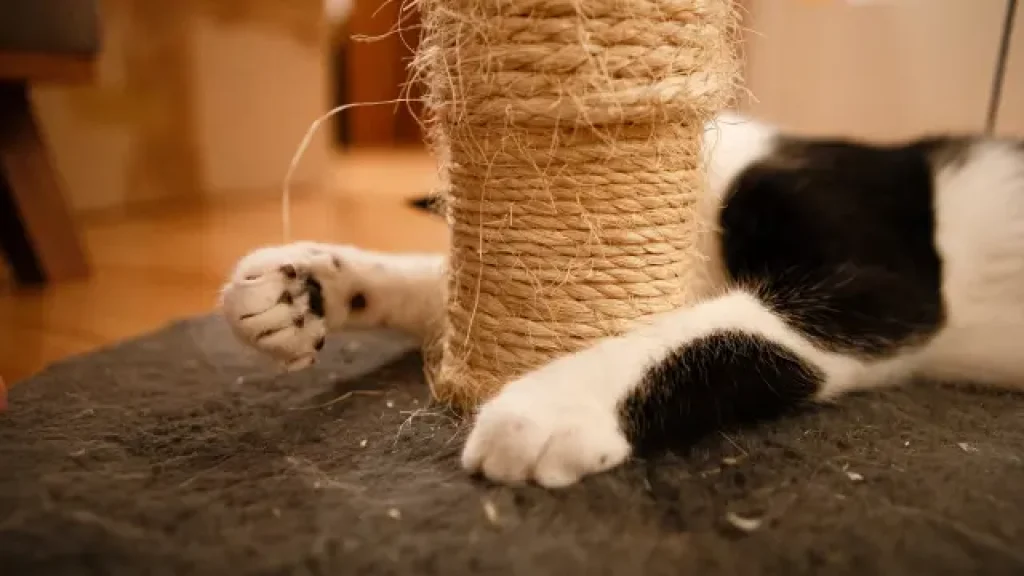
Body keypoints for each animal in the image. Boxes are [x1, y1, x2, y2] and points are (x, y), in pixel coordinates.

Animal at [218, 111, 1024, 483]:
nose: (303, 287)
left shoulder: (881, 287)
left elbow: (718, 328)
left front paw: (551, 404)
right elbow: (444, 285)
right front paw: (306, 284)